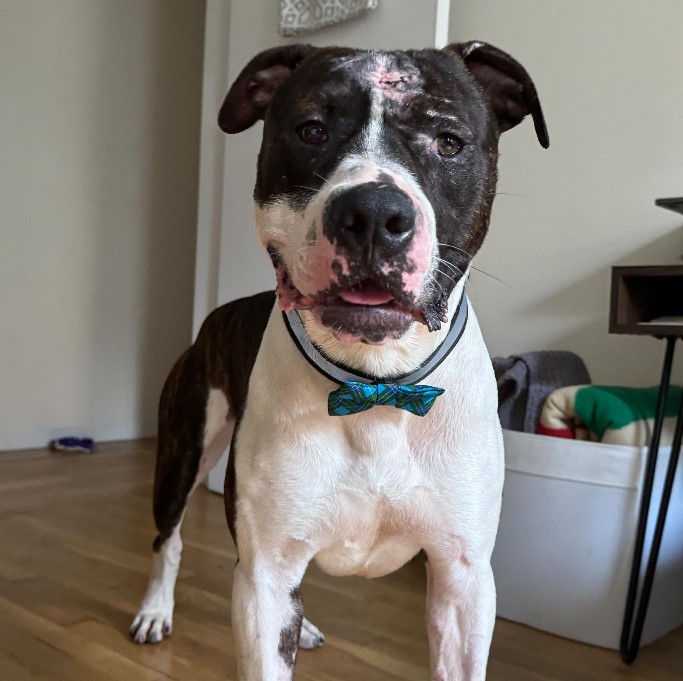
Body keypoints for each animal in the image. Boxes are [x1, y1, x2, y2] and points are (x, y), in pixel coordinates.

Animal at [131, 42, 548, 680]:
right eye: (311, 130)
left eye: (448, 140)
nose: (373, 212)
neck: (376, 385)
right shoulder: (266, 573)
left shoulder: (463, 580)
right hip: (184, 449)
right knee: (169, 539)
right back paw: (155, 609)